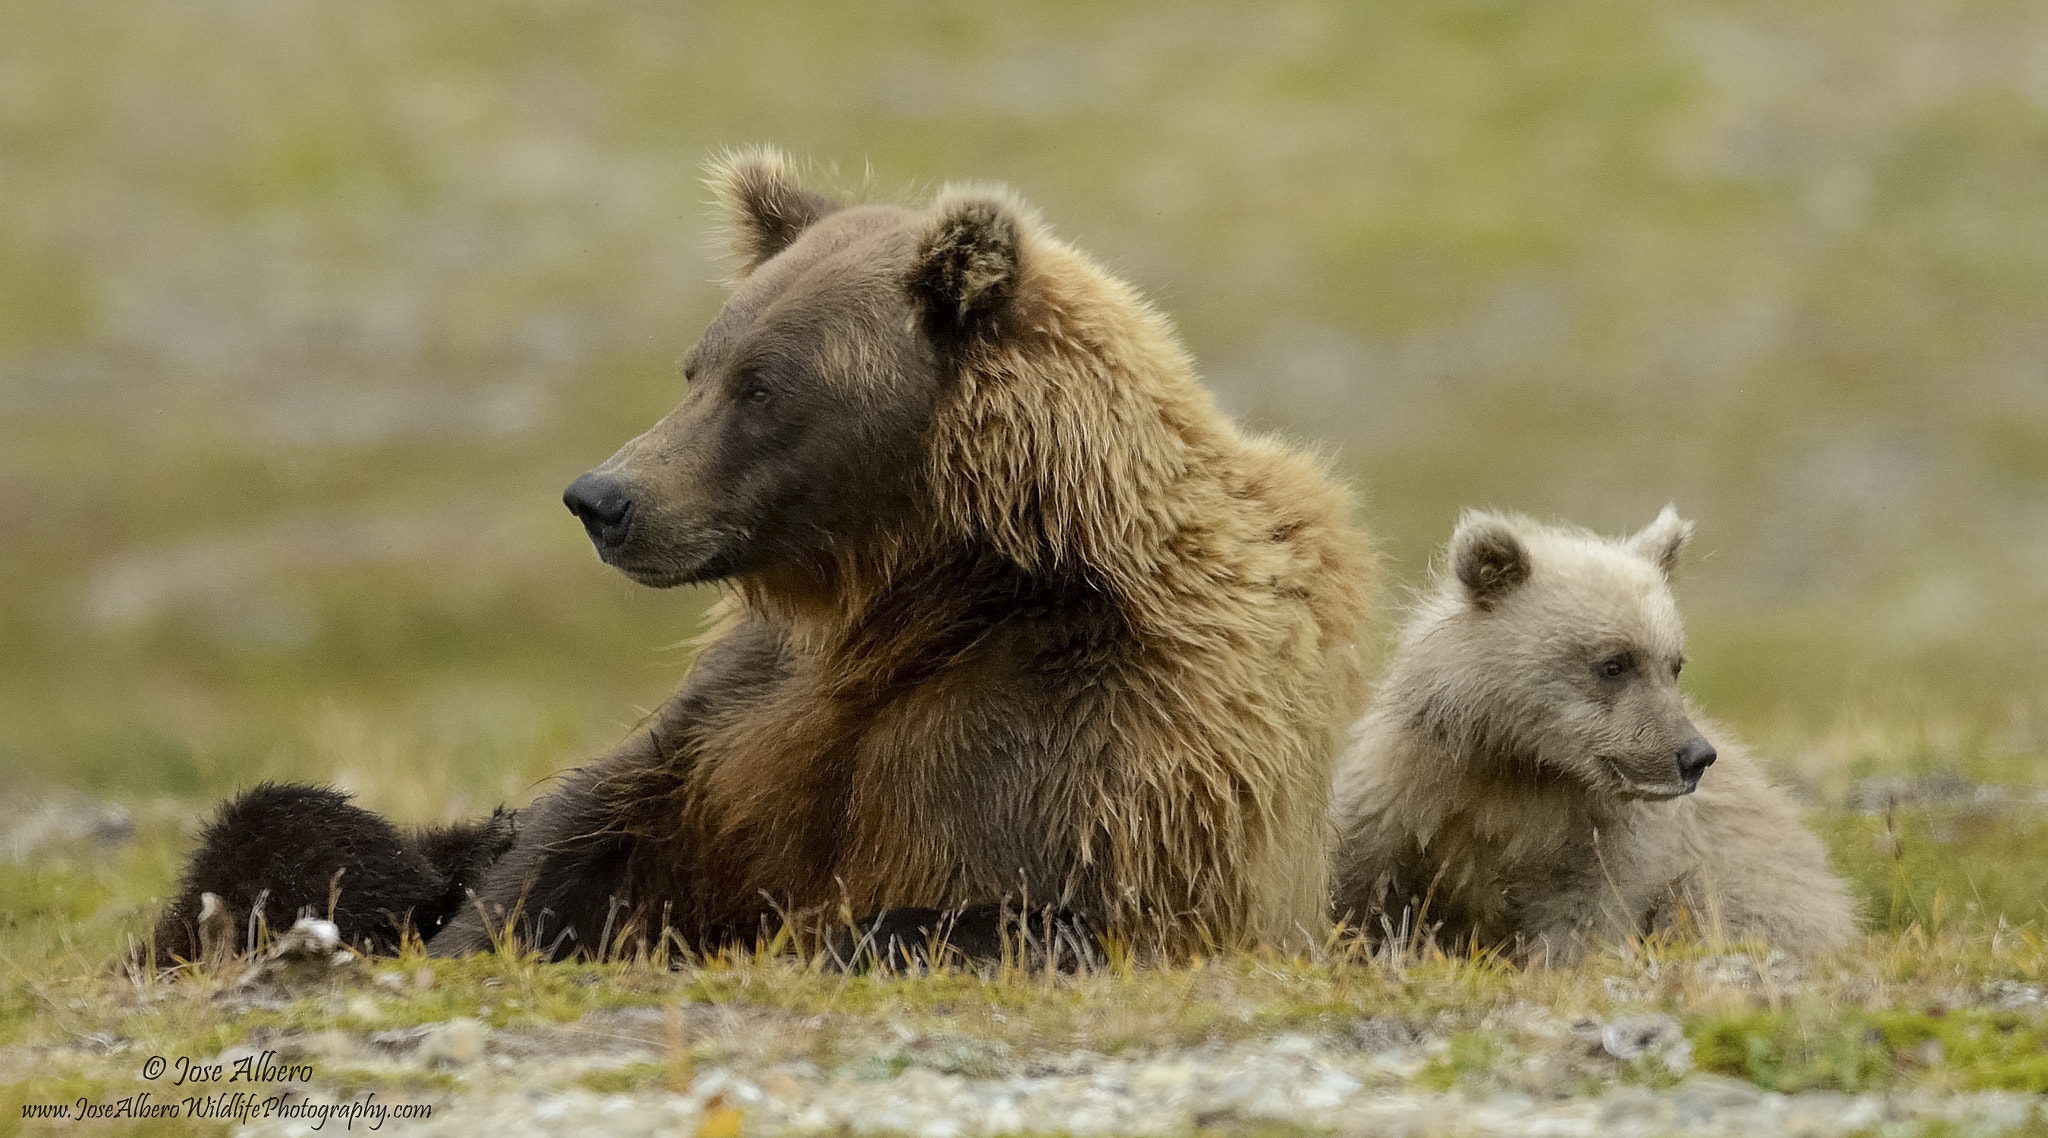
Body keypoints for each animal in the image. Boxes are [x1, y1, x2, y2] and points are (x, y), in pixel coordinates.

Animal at [153, 148, 1373, 966]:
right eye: (698, 363)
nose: (604, 498)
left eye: (766, 384)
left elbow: (1030, 903)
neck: (913, 590)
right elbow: (573, 847)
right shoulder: (749, 720)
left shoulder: (1105, 727)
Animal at [1329, 507, 1854, 964]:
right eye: (1615, 663)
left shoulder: (1602, 841)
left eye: (1674, 663)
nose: (1696, 755)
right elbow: (1359, 888)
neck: (1519, 764)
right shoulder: (1404, 800)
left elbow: (1584, 922)